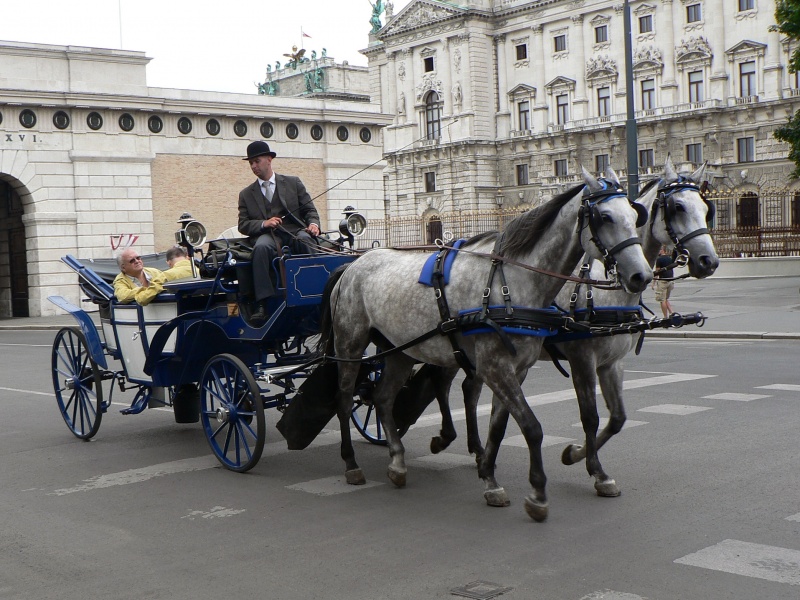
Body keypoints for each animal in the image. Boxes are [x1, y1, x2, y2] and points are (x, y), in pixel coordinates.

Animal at [316, 168, 652, 520]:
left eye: (635, 216)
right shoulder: (498, 366)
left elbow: (499, 426)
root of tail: (352, 265)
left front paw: (489, 476)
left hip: (400, 351)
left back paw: (396, 461)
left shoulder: (517, 370)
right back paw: (351, 463)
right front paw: (536, 494)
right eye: (604, 216)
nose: (641, 276)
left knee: (382, 398)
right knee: (344, 399)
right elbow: (532, 427)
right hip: (350, 344)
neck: (511, 282)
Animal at [432, 155, 720, 496]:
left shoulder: (612, 362)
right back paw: (450, 440)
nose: (709, 261)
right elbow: (590, 416)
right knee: (446, 385)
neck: (608, 289)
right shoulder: (583, 358)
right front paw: (594, 470)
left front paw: (577, 455)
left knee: (470, 389)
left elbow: (617, 418)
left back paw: (478, 452)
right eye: (677, 207)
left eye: (706, 207)